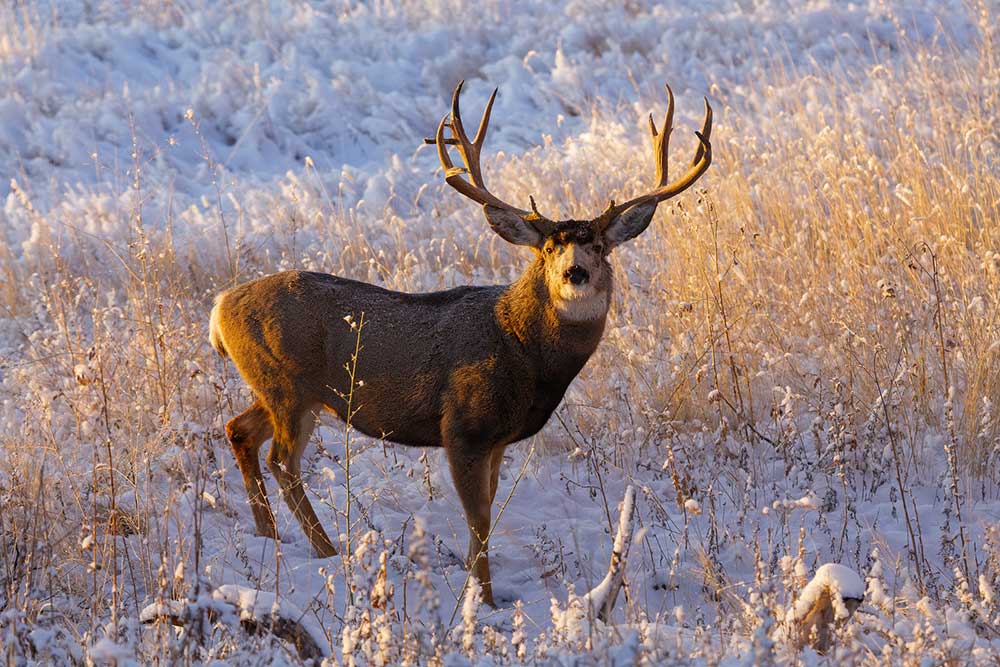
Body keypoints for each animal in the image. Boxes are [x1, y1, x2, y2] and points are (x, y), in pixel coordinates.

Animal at [211, 79, 712, 604]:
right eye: (548, 247)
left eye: (598, 245)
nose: (575, 272)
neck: (520, 348)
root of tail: (220, 307)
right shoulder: (463, 427)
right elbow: (478, 519)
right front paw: (482, 600)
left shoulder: (498, 439)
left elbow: (487, 512)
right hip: (287, 384)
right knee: (282, 461)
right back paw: (327, 552)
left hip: (283, 389)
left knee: (238, 430)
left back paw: (269, 537)